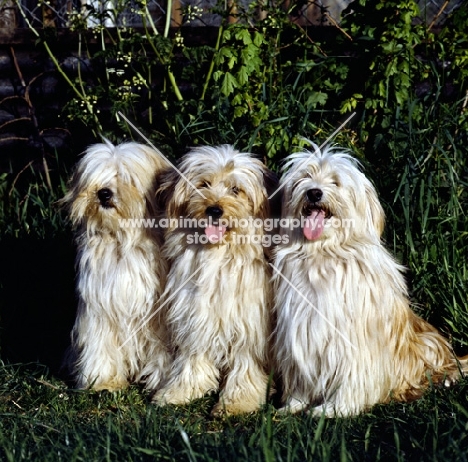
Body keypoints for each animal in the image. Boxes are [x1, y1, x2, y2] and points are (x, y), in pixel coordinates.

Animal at [60, 139, 170, 392]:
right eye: (96, 178)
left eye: (126, 178)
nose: (104, 193)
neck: (122, 243)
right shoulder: (100, 308)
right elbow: (100, 344)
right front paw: (103, 381)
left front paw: (160, 380)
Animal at [152, 144, 276, 416]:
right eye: (203, 184)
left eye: (236, 189)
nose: (215, 210)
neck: (219, 256)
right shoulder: (195, 317)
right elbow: (192, 358)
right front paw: (180, 392)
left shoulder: (249, 328)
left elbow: (245, 366)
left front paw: (237, 403)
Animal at [272, 143, 466, 416]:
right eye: (304, 177)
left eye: (335, 182)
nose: (314, 193)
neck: (323, 254)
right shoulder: (300, 331)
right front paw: (293, 405)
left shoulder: (354, 340)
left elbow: (351, 375)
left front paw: (335, 409)